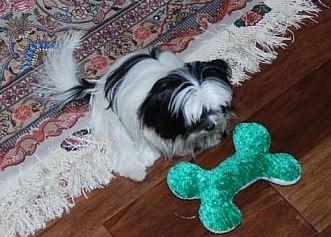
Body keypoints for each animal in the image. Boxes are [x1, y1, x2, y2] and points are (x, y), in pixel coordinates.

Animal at [44, 32, 235, 181]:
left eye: (219, 108)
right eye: (196, 117)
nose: (211, 125)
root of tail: (96, 87)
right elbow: (144, 139)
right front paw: (148, 155)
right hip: (110, 118)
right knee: (121, 144)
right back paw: (134, 171)